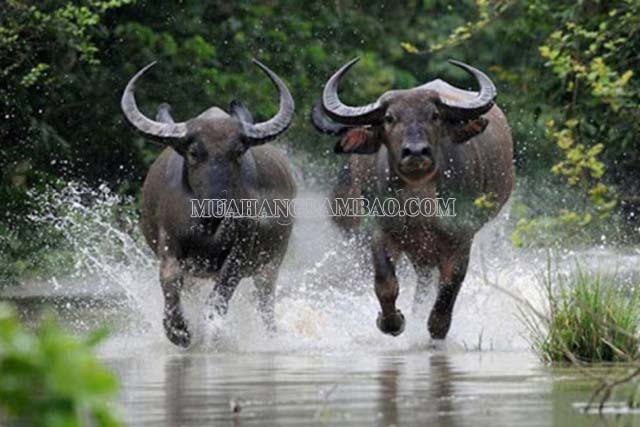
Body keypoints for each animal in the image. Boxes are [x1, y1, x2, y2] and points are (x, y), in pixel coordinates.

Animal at [121, 59, 296, 348]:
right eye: (193, 153)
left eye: (238, 152)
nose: (217, 206)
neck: (207, 226)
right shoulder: (169, 242)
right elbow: (170, 278)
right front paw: (178, 330)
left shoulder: (242, 248)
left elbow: (222, 291)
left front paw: (211, 331)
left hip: (271, 263)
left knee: (265, 302)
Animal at [312, 59, 512, 342]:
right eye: (389, 118)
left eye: (435, 115)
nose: (416, 152)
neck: (419, 200)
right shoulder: (382, 230)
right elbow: (385, 282)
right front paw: (391, 322)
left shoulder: (462, 235)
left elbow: (450, 285)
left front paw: (437, 328)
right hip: (418, 250)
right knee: (422, 282)